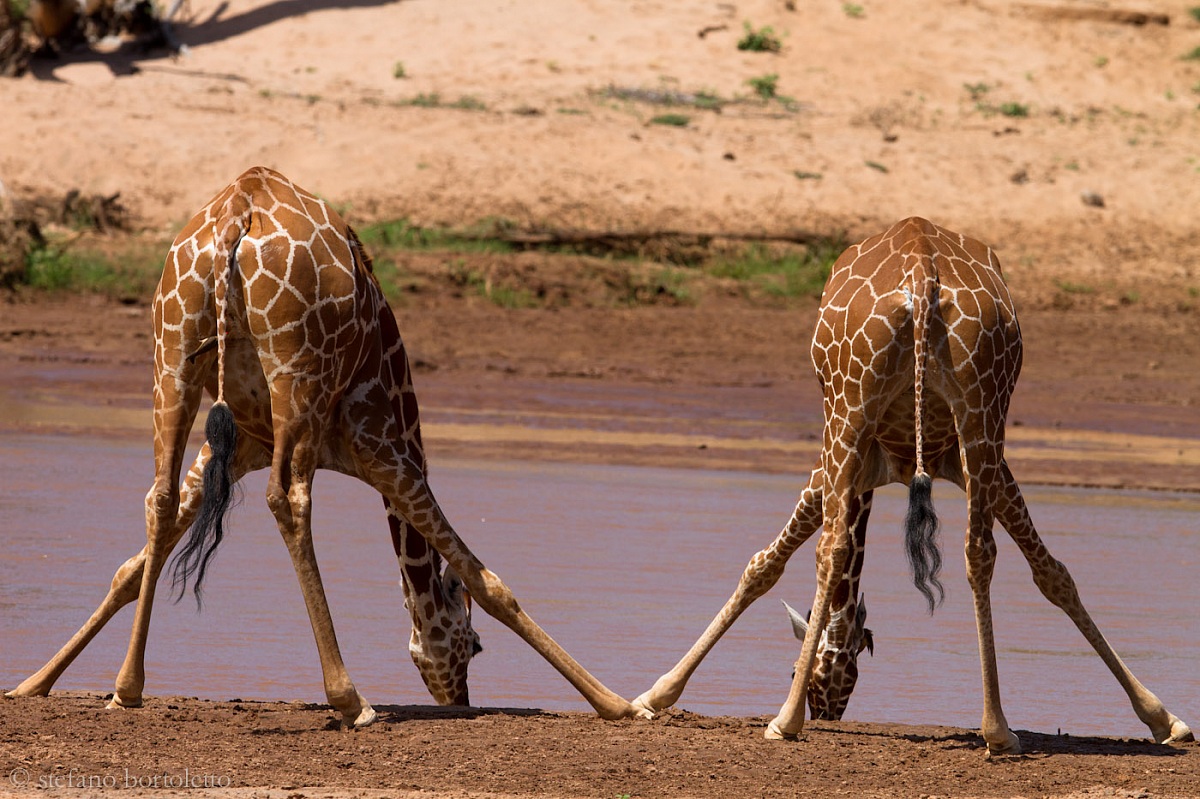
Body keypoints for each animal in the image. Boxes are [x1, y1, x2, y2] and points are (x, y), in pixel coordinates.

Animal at [7, 166, 645, 725]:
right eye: (472, 645)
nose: (460, 700)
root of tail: (238, 211)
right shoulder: (384, 447)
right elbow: (488, 581)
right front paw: (619, 704)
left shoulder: (242, 445)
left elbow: (134, 565)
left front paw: (34, 683)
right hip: (298, 380)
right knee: (287, 501)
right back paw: (350, 699)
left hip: (174, 357)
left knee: (158, 498)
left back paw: (128, 687)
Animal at [635, 217, 1193, 754]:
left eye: (798, 669)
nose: (826, 712)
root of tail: (923, 273)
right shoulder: (953, 461)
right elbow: (1053, 573)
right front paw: (1163, 717)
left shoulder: (850, 464)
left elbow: (764, 564)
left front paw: (655, 693)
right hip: (981, 418)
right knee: (978, 552)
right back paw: (996, 728)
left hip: (848, 413)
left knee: (832, 548)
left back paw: (785, 721)